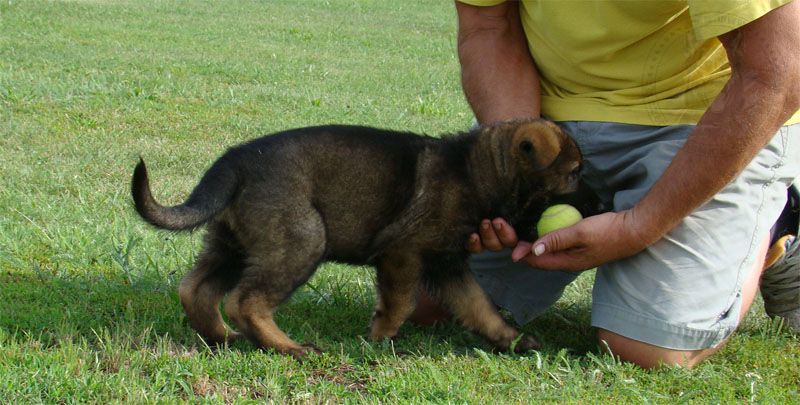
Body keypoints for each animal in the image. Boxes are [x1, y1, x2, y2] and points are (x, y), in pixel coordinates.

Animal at [133, 119, 580, 356]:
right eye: (575, 174)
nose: (592, 202)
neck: (477, 170)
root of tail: (234, 162)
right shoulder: (403, 253)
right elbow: (400, 302)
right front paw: (380, 339)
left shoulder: (448, 264)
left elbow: (480, 307)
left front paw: (511, 339)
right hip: (301, 241)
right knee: (245, 301)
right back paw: (289, 348)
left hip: (232, 245)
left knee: (196, 289)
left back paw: (223, 337)